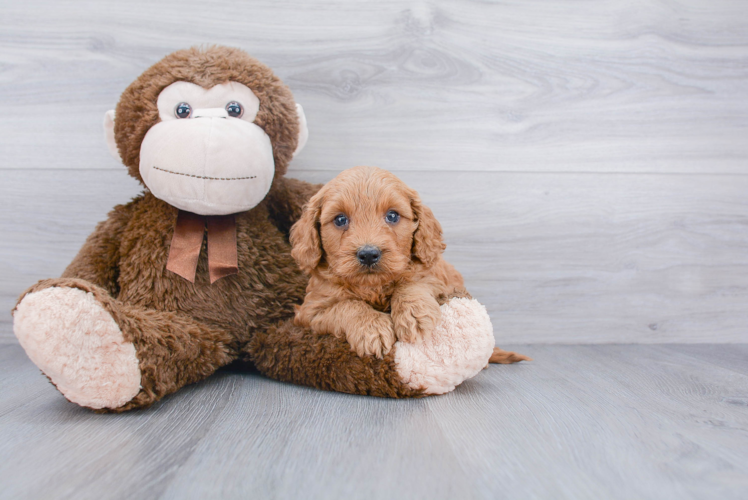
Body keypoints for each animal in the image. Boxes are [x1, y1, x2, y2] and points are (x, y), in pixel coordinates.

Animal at [290, 166, 528, 362]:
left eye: (392, 216)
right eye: (340, 219)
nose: (368, 254)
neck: (373, 287)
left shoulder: (437, 280)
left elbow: (413, 283)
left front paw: (413, 314)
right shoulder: (310, 312)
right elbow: (347, 305)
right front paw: (371, 329)